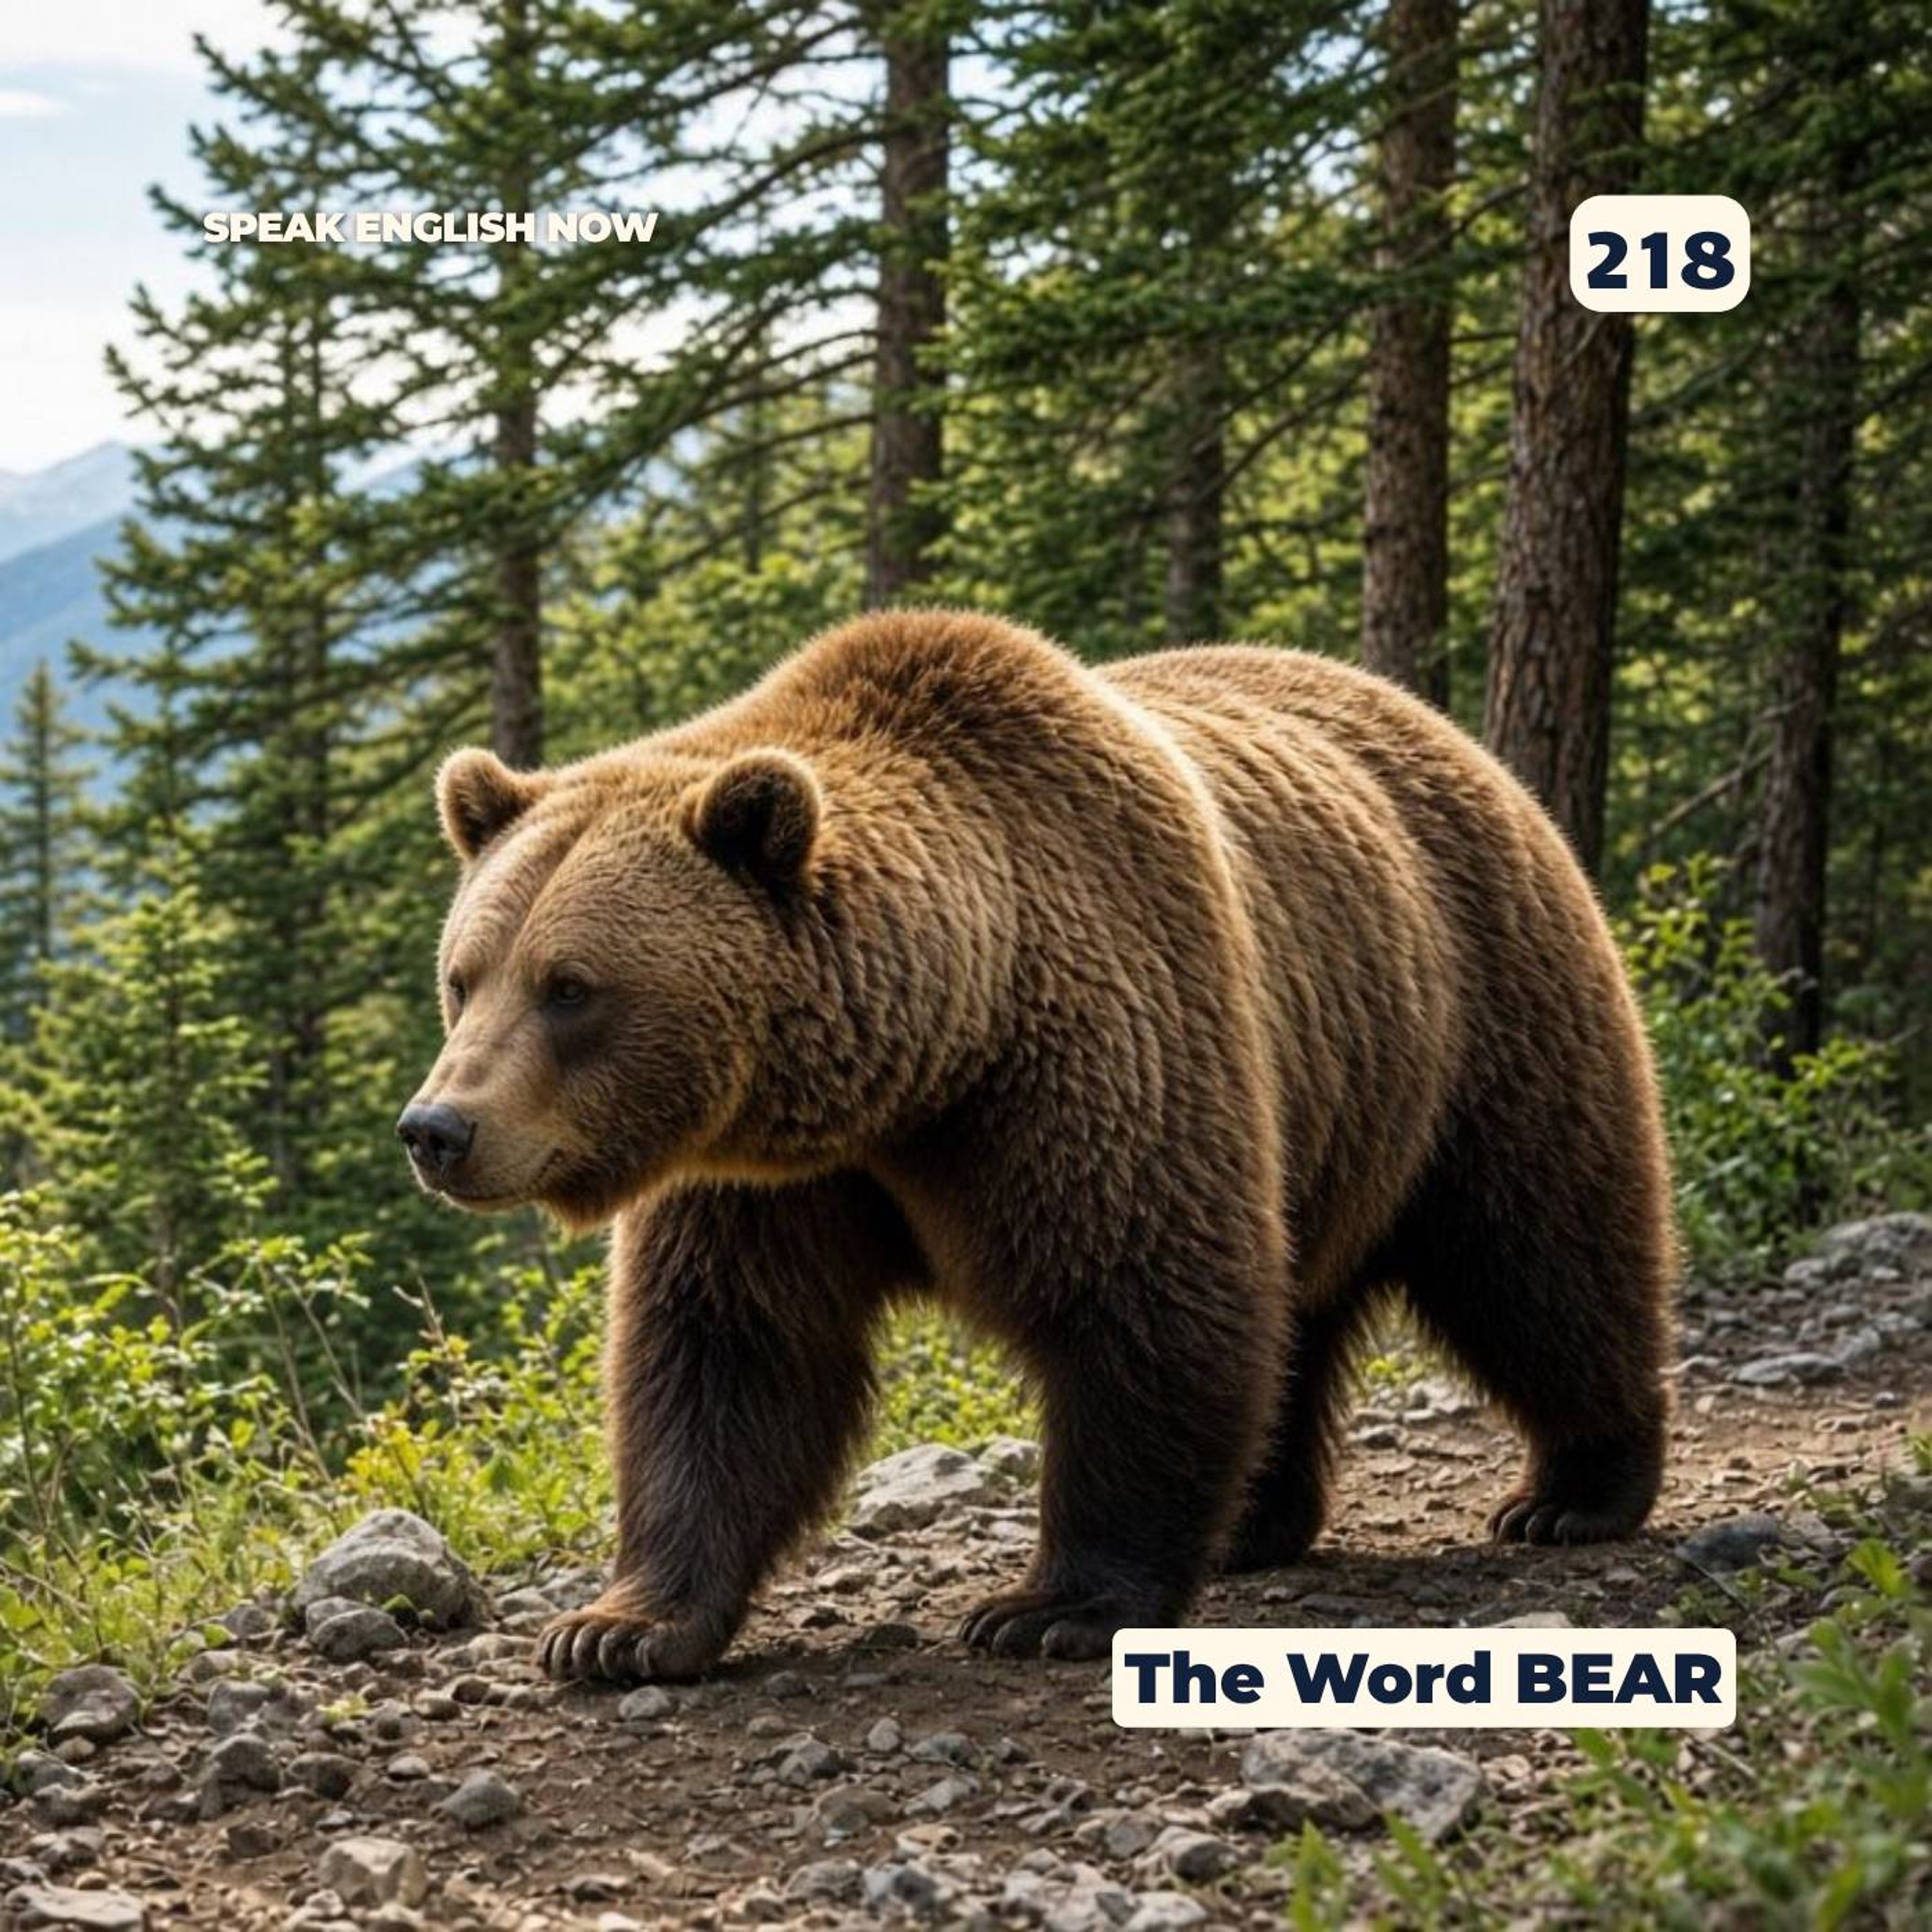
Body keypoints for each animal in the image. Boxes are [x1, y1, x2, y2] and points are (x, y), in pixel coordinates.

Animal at [399, 609, 1675, 1681]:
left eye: (571, 986)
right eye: (465, 976)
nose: (438, 1129)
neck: (925, 1059)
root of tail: (1446, 730)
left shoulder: (1099, 1053)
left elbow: (1141, 1298)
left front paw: (1051, 1606)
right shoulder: (767, 1180)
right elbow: (728, 1356)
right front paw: (619, 1627)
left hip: (1474, 1017)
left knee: (1539, 1250)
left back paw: (1577, 1488)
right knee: (1306, 1310)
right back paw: (1257, 1522)